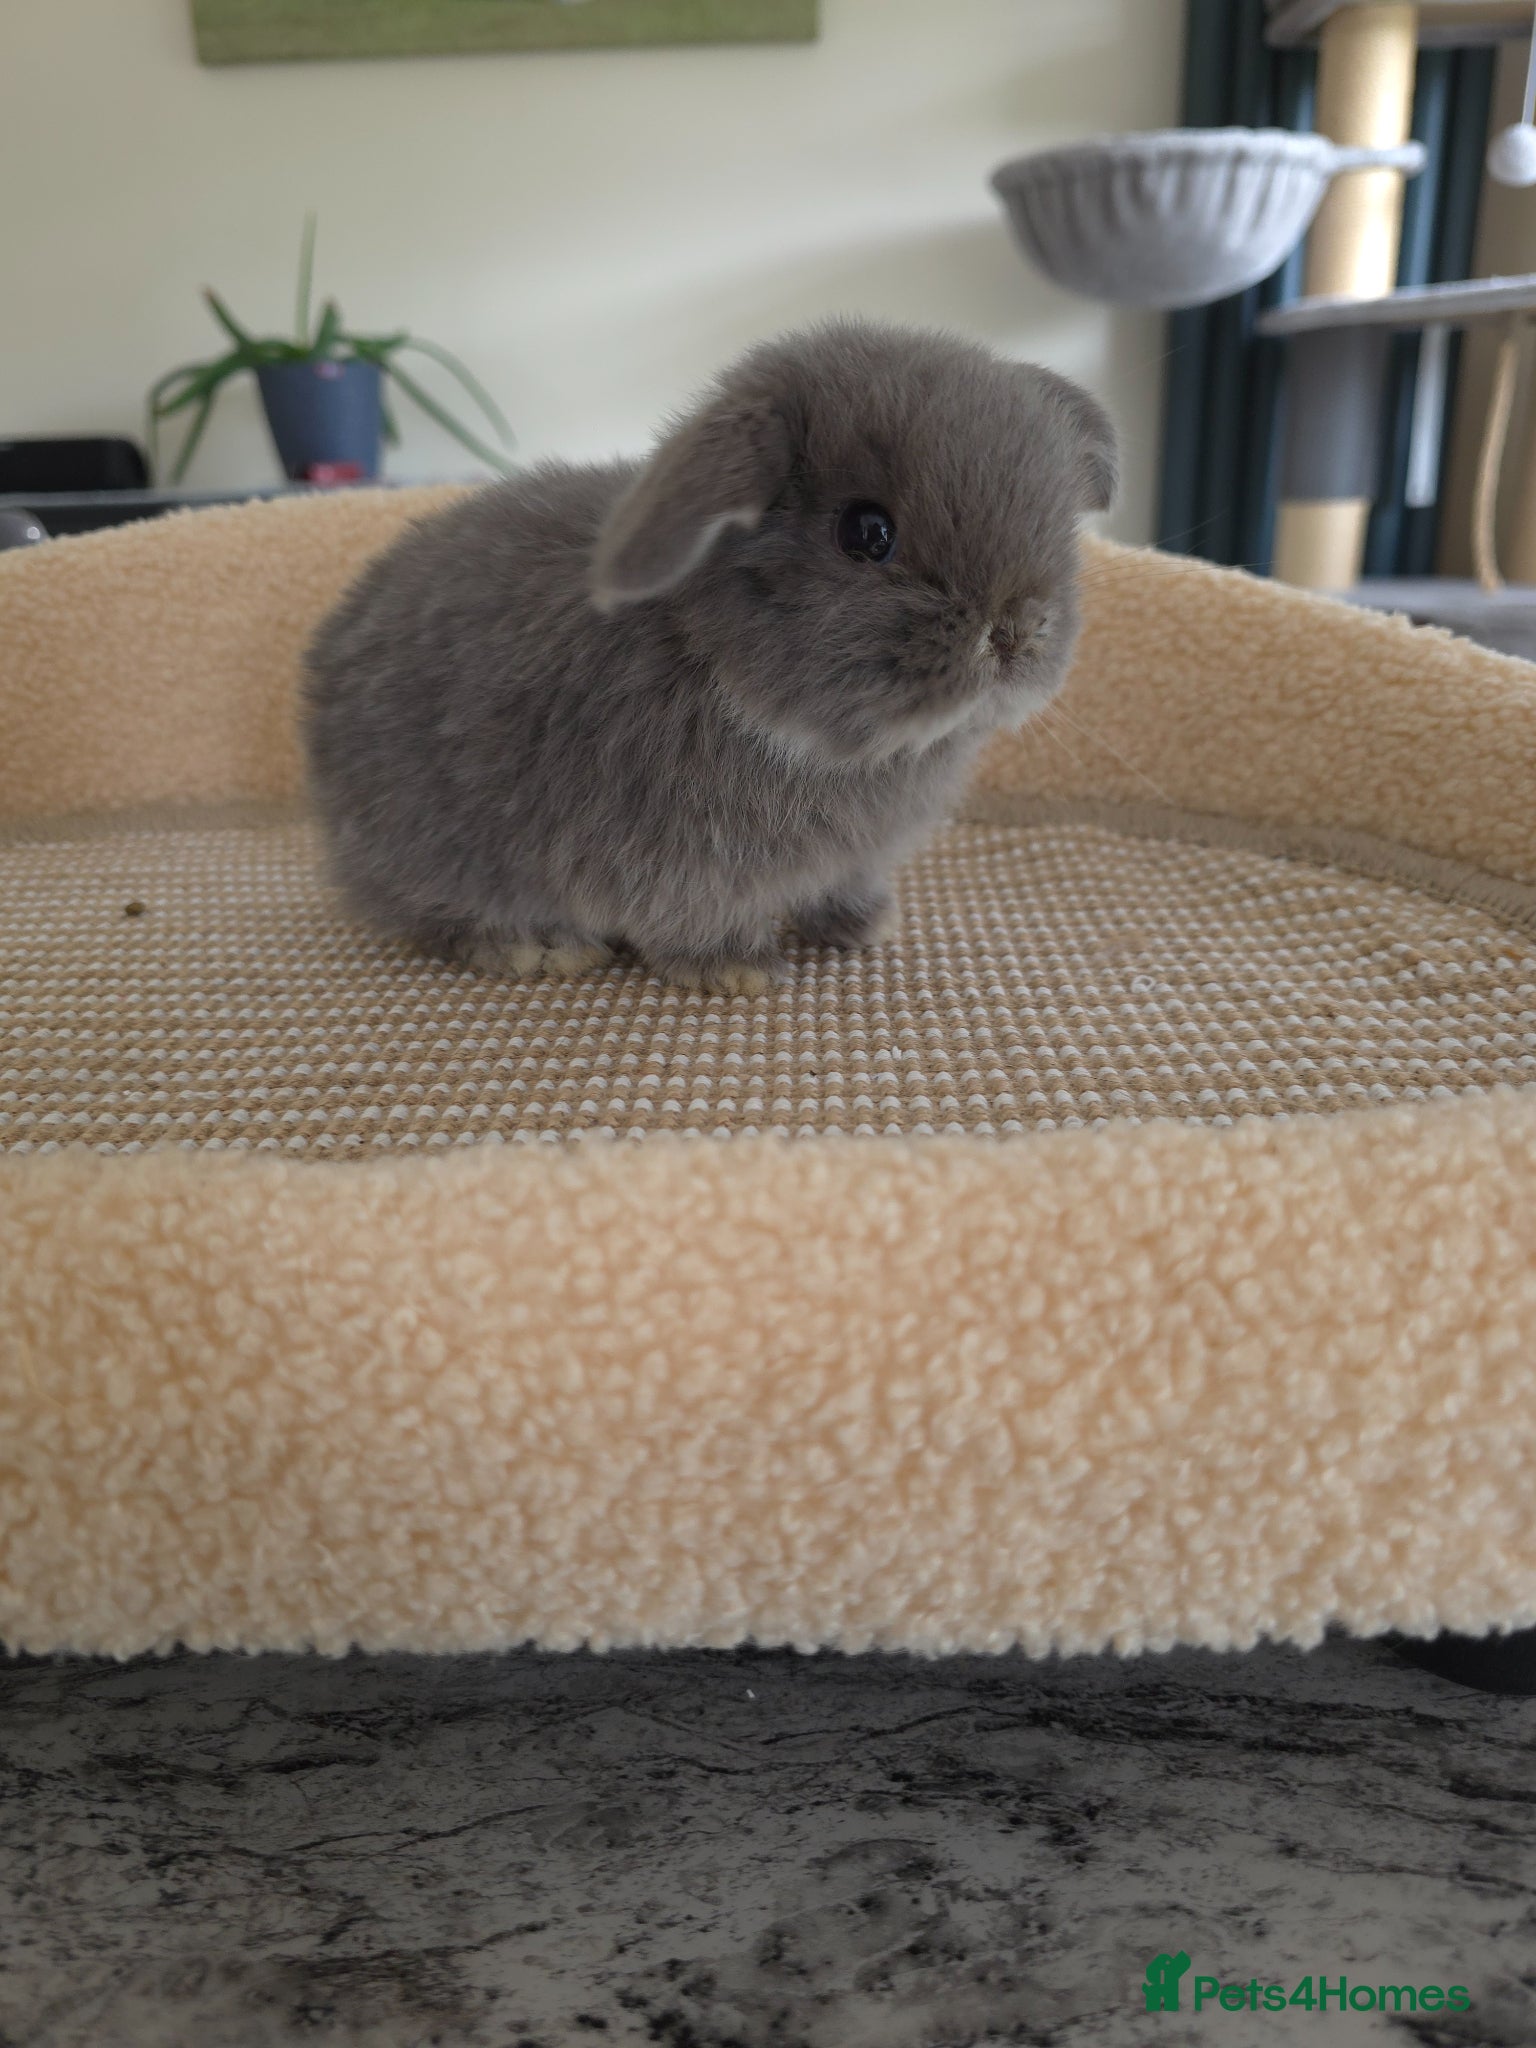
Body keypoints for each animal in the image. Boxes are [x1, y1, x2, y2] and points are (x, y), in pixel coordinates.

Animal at [302, 318, 1116, 995]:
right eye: (866, 532)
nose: (1015, 631)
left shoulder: (850, 857)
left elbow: (842, 886)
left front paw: (863, 927)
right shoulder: (678, 863)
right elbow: (692, 921)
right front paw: (738, 970)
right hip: (437, 850)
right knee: (437, 916)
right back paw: (540, 947)